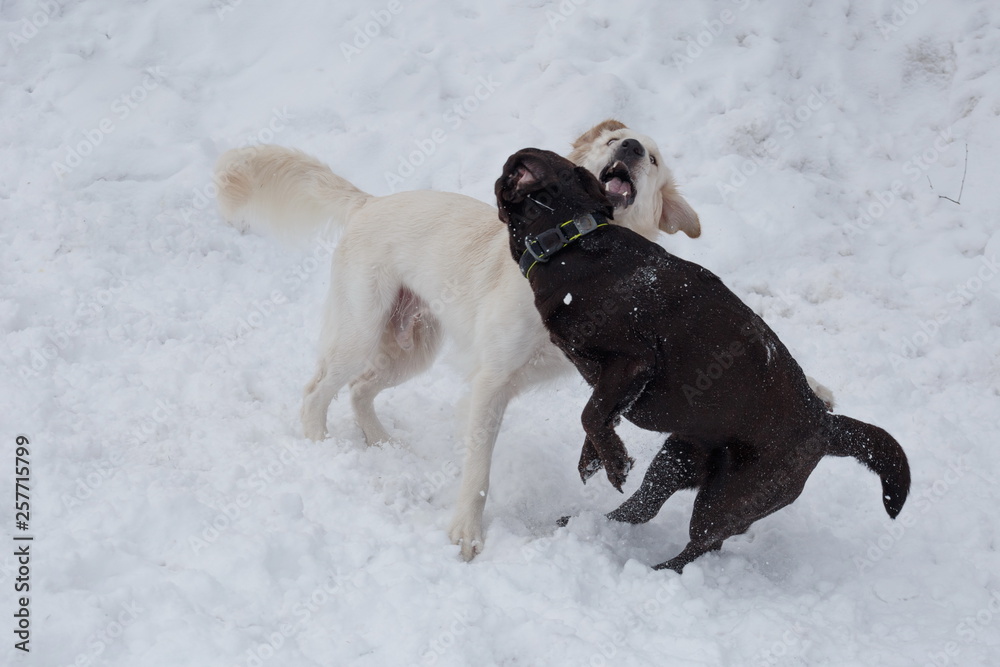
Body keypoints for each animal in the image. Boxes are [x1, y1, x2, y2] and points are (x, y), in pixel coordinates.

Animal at [215, 120, 704, 560]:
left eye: (653, 158)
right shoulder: (491, 382)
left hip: (412, 350)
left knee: (359, 390)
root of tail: (370, 203)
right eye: (611, 140)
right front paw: (467, 533)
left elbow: (599, 413)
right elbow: (479, 473)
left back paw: (382, 443)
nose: (632, 147)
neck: (579, 255)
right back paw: (321, 447)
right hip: (359, 334)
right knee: (316, 391)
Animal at [496, 149, 912, 572]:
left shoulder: (632, 360)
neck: (572, 240)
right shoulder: (614, 383)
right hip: (677, 459)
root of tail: (826, 425)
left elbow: (591, 414)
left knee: (703, 544)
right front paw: (595, 460)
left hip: (728, 497)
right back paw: (588, 526)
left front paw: (613, 461)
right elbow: (600, 416)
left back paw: (659, 572)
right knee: (644, 507)